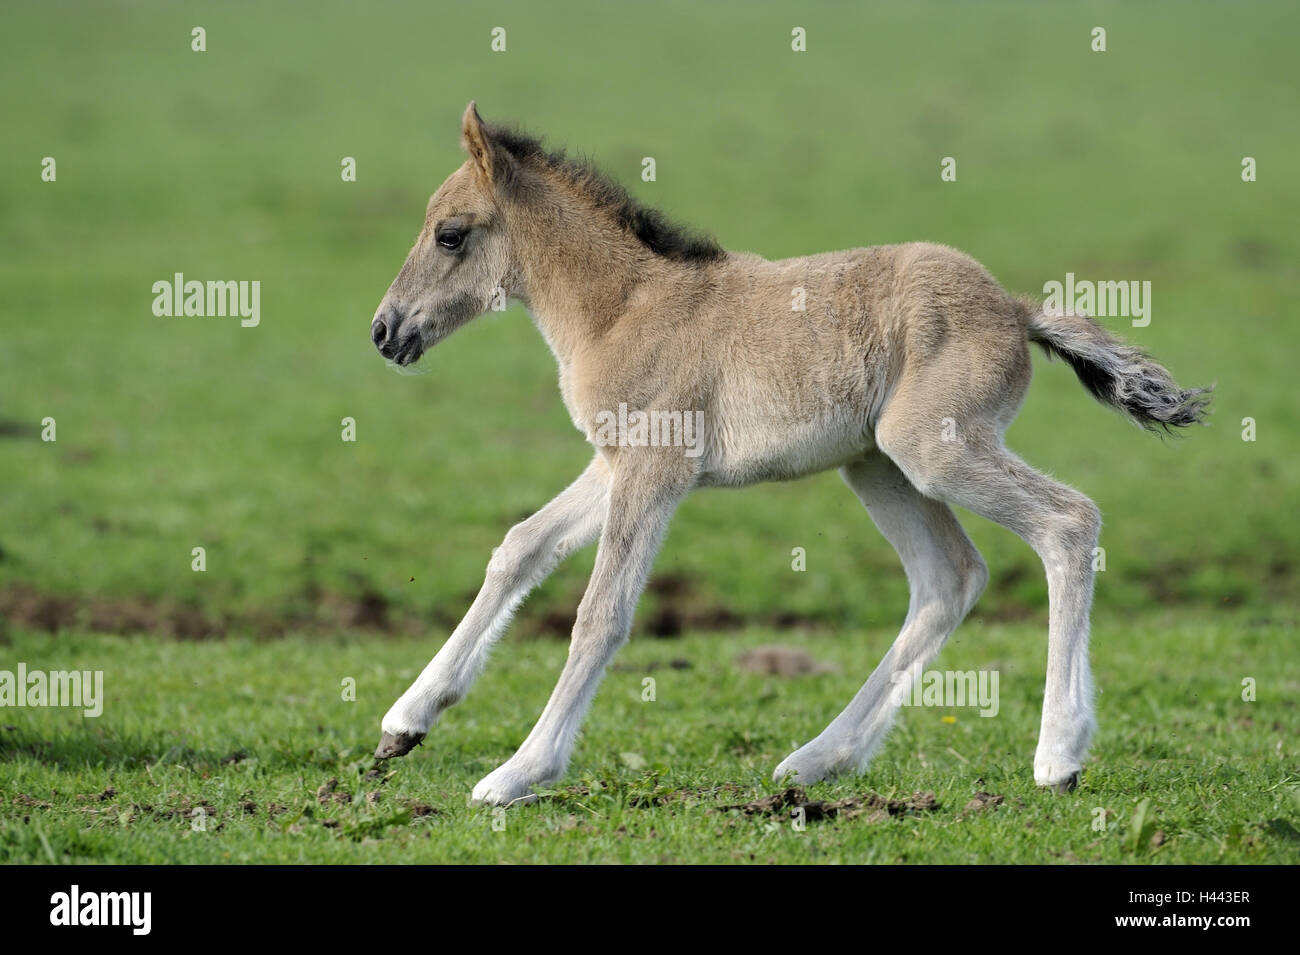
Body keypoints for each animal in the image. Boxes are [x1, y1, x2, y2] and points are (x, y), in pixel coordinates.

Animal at [366, 104, 1206, 805]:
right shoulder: (613, 461)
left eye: (450, 233)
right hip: (875, 464)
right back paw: (817, 760)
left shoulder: (653, 469)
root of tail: (1015, 308)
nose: (385, 331)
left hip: (933, 451)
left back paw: (1058, 755)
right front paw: (406, 721)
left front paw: (518, 772)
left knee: (1068, 521)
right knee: (950, 577)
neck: (622, 308)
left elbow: (601, 612)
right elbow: (520, 547)